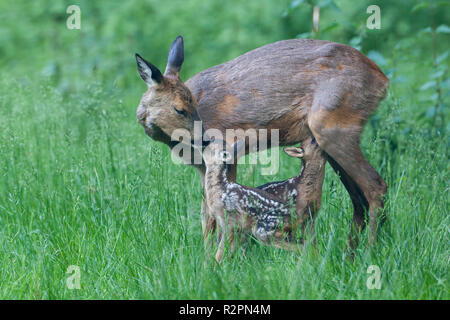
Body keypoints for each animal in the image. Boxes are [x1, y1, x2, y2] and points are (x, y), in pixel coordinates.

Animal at [135, 36, 388, 251]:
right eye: (180, 108)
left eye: (192, 105)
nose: (205, 138)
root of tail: (382, 79)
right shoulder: (201, 166)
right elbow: (207, 219)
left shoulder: (228, 155)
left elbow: (219, 215)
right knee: (359, 199)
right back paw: (349, 255)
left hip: (333, 128)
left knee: (376, 186)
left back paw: (370, 252)